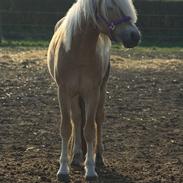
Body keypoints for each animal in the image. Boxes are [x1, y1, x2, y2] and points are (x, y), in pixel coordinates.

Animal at [47, 0, 140, 180]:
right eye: (110, 6)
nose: (135, 36)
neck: (78, 50)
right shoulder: (63, 92)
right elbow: (66, 128)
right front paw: (63, 168)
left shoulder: (92, 92)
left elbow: (89, 129)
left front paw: (90, 169)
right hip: (75, 95)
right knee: (76, 119)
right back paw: (76, 155)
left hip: (101, 90)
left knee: (98, 119)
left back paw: (98, 158)